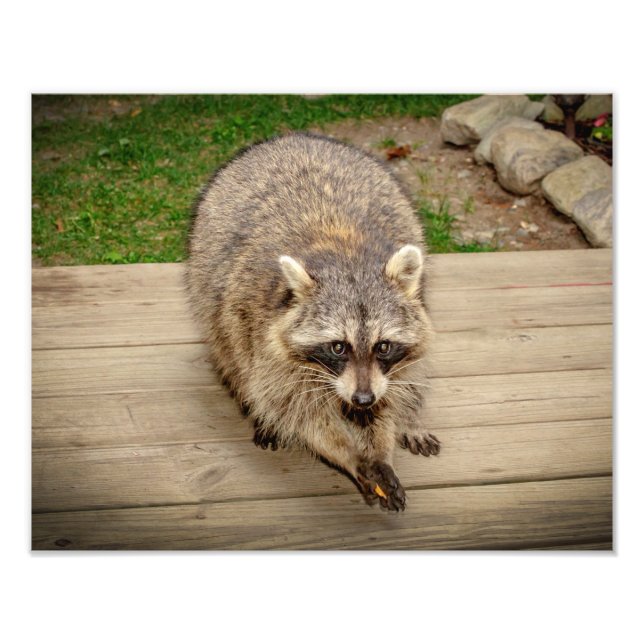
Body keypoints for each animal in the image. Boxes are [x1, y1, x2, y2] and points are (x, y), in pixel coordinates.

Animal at [186, 132, 440, 511]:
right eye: (338, 347)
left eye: (383, 346)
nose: (362, 399)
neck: (345, 254)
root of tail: (294, 137)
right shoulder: (262, 333)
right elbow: (297, 410)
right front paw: (350, 455)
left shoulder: (390, 364)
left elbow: (391, 395)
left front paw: (382, 444)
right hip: (211, 290)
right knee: (231, 355)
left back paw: (410, 418)